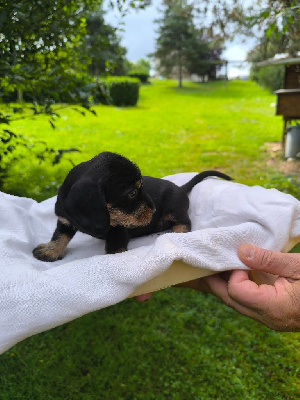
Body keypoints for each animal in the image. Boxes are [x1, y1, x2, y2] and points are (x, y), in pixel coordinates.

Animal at [33, 152, 232, 260]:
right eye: (132, 193)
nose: (154, 209)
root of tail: (181, 188)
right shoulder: (64, 220)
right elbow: (59, 236)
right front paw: (50, 251)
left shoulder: (119, 229)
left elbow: (114, 248)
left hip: (175, 209)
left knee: (184, 222)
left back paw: (177, 233)